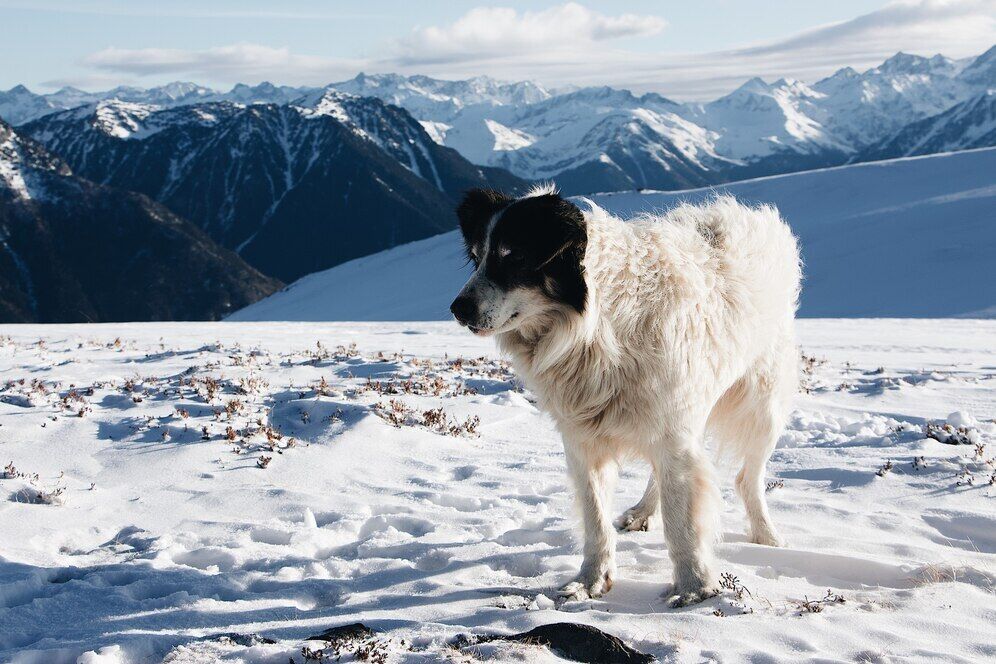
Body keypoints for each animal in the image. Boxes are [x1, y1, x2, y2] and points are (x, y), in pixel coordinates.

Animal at [452, 185, 800, 608]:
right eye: (476, 257)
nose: (457, 308)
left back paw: (766, 534)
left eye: (513, 255)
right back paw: (643, 511)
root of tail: (751, 216)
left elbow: (682, 521)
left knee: (748, 477)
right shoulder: (585, 439)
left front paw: (694, 586)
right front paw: (590, 581)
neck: (595, 329)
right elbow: (596, 519)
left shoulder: (672, 428)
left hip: (762, 405)